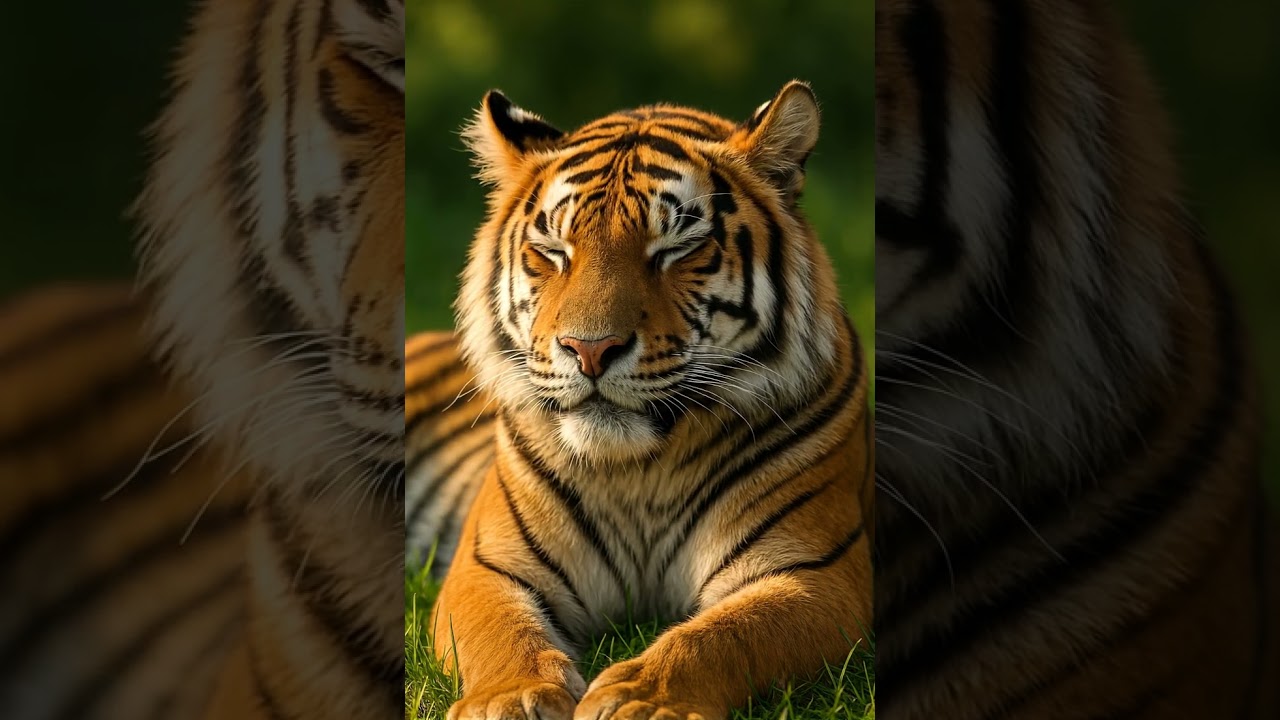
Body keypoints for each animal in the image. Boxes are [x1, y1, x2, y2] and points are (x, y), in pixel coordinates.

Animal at [404, 81, 873, 720]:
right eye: (554, 250)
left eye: (677, 248)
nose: (589, 348)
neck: (640, 469)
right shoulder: (488, 567)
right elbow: (501, 632)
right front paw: (511, 698)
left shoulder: (813, 571)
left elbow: (726, 634)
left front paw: (643, 699)